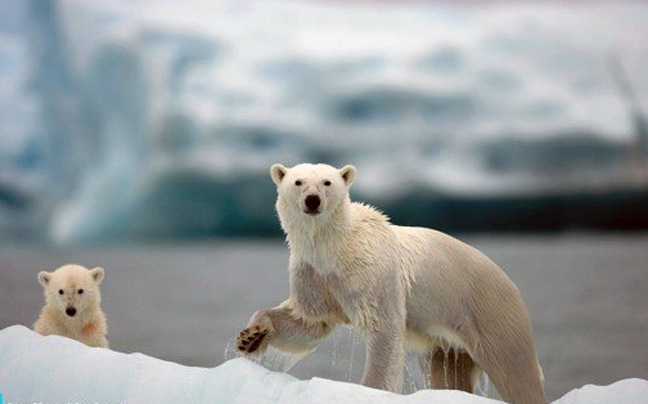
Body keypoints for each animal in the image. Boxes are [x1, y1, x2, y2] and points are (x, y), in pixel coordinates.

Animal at [235, 163, 544, 404]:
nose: (312, 200)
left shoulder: (371, 271)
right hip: (447, 342)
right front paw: (251, 337)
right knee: (448, 373)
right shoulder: (313, 274)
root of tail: (506, 279)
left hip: (490, 311)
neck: (334, 248)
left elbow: (383, 328)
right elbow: (310, 322)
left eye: (327, 182)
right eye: (298, 181)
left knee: (515, 370)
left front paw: (369, 390)